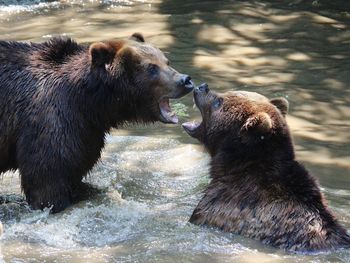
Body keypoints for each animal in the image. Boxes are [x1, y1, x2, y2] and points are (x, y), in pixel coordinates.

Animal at [0, 33, 194, 214]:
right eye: (152, 67)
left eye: (166, 61)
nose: (185, 80)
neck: (89, 102)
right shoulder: (50, 119)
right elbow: (47, 179)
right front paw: (53, 202)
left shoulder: (86, 130)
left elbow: (77, 167)